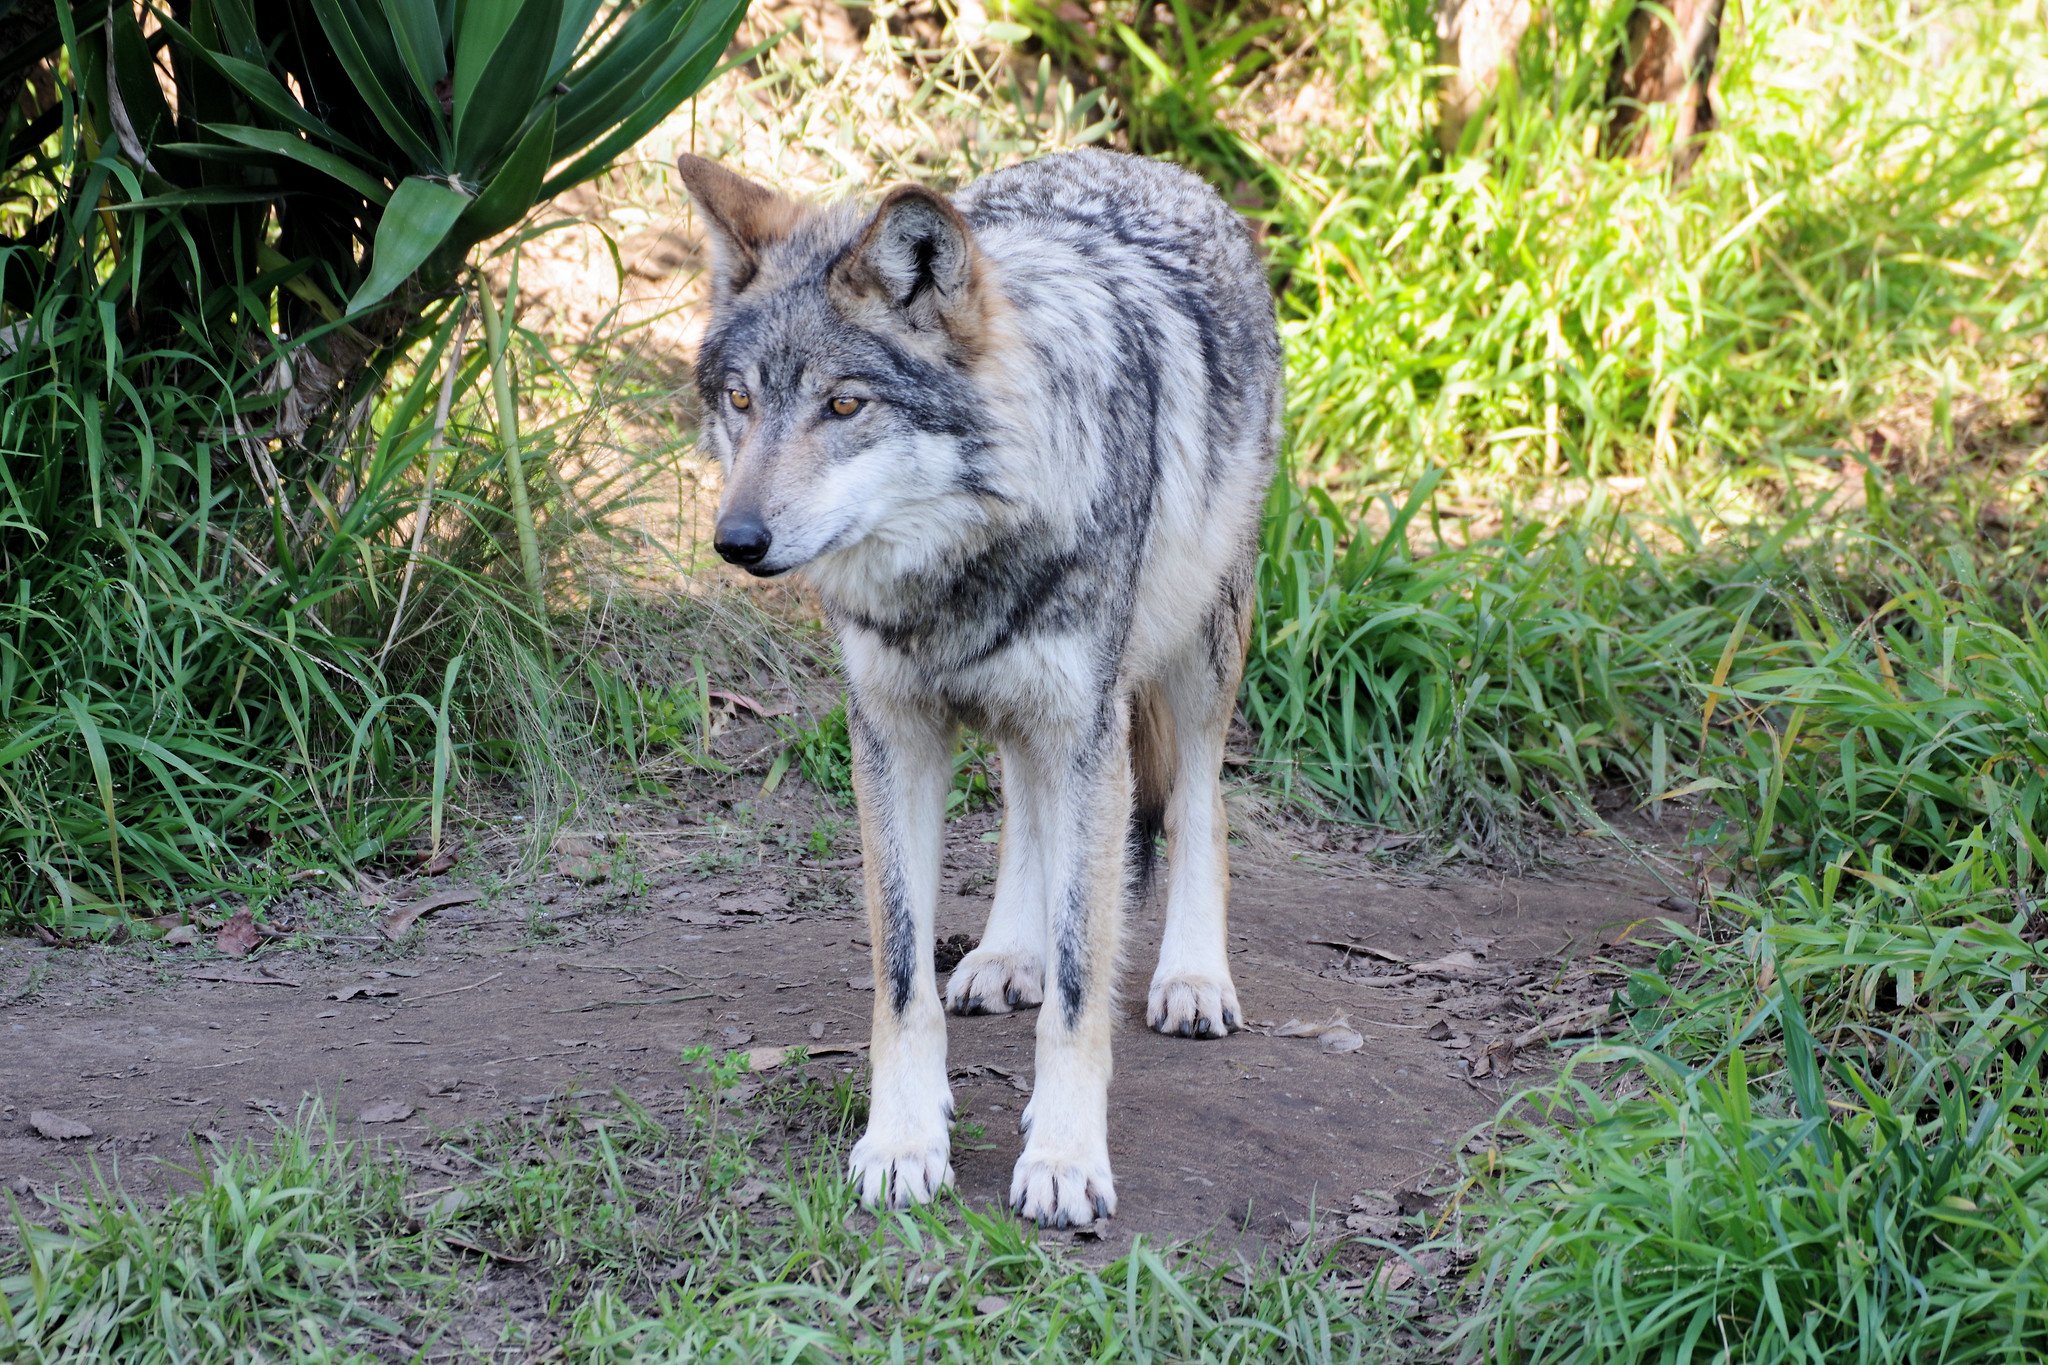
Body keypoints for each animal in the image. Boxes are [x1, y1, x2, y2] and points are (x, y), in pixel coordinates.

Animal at [671, 147, 1277, 1227]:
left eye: (844, 405)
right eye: (740, 401)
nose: (735, 541)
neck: (958, 565)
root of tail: (1135, 160)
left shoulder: (1087, 733)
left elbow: (1081, 985)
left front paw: (1065, 1159)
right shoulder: (893, 739)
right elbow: (903, 977)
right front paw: (903, 1144)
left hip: (1193, 653)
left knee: (1200, 800)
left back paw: (1192, 976)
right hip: (1035, 719)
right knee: (1024, 814)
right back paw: (1003, 955)